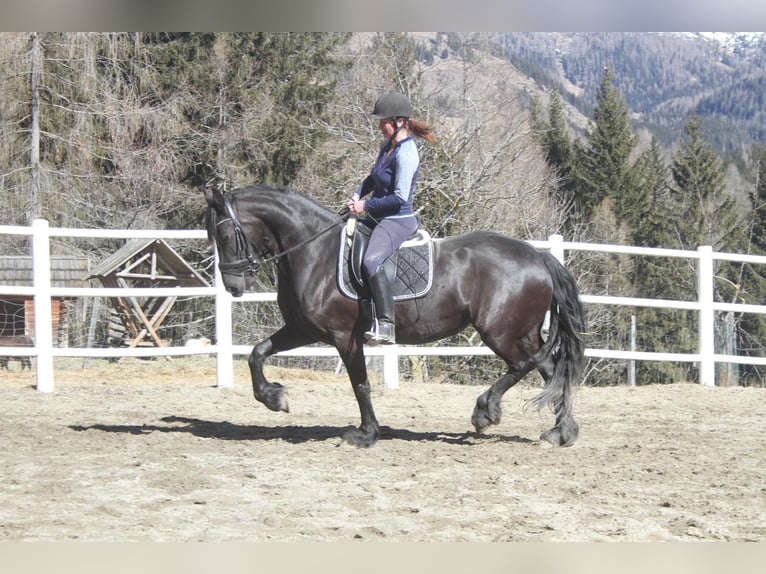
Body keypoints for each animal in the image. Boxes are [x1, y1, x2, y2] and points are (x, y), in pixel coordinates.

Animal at [206, 184, 588, 450]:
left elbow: (360, 383)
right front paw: (275, 398)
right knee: (551, 370)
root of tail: (538, 256)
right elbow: (257, 353)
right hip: (521, 333)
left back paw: (485, 412)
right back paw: (560, 433)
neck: (314, 252)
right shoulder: (302, 329)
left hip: (501, 333)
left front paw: (365, 434)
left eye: (224, 234)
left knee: (524, 365)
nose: (234, 287)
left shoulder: (343, 336)